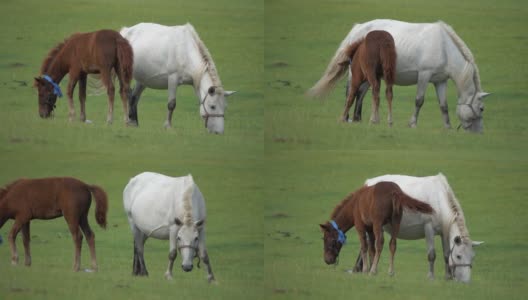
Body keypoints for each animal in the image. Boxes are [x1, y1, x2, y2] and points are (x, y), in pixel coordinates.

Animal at [308, 18, 492, 131]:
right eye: (481, 108)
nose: (479, 132)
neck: (444, 46)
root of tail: (358, 28)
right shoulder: (424, 76)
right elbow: (419, 101)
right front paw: (412, 123)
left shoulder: (440, 81)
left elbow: (443, 105)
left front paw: (447, 127)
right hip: (357, 73)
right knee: (351, 93)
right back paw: (348, 118)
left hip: (369, 76)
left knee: (361, 93)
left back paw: (357, 118)